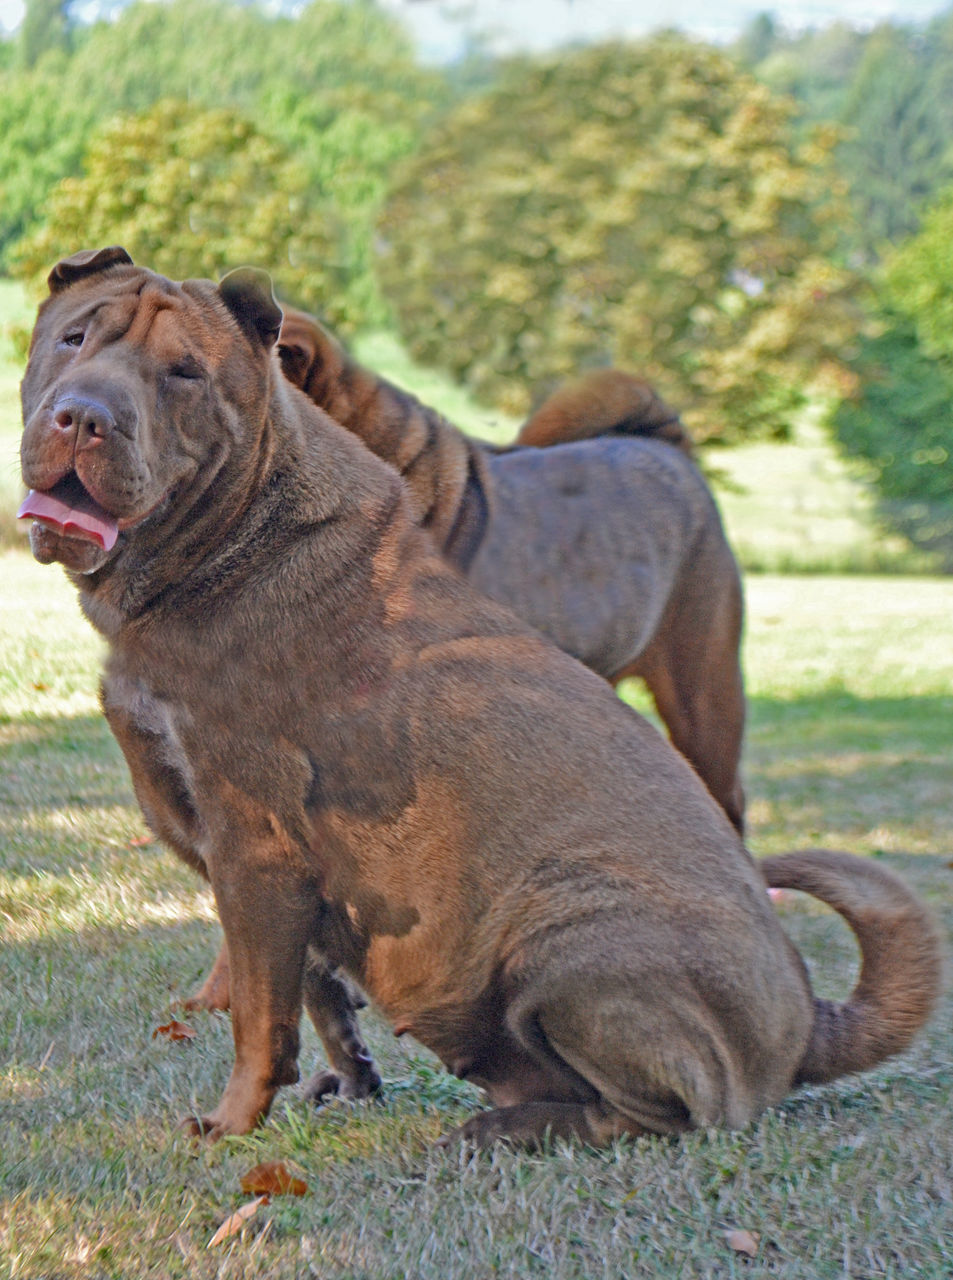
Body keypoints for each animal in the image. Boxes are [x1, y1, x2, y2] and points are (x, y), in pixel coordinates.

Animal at [18, 244, 941, 1146]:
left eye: (183, 372)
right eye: (74, 337)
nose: (84, 416)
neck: (229, 538)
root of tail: (806, 1025)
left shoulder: (253, 844)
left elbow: (260, 1015)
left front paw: (228, 1126)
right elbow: (315, 998)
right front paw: (349, 1086)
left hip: (573, 915)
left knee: (665, 1113)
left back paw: (505, 1127)